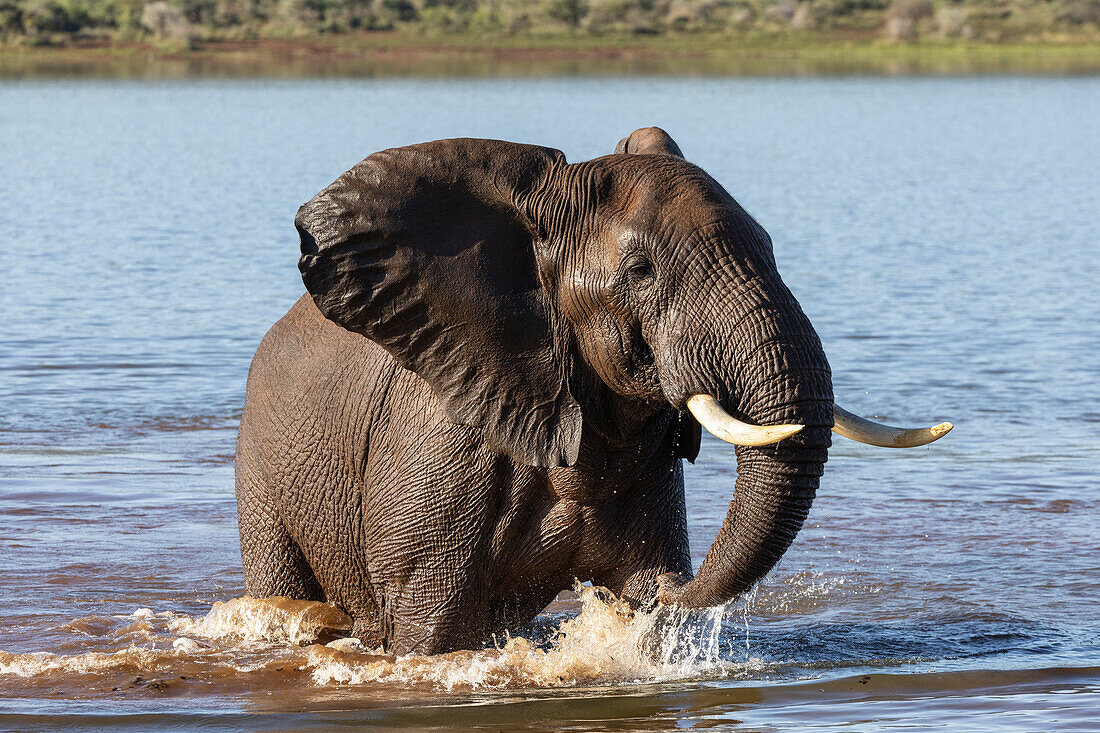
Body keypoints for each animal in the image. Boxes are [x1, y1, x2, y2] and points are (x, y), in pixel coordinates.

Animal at [236, 124, 950, 651]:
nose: (672, 587)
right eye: (639, 270)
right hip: (260, 470)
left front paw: (643, 599)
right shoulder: (436, 446)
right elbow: (430, 628)